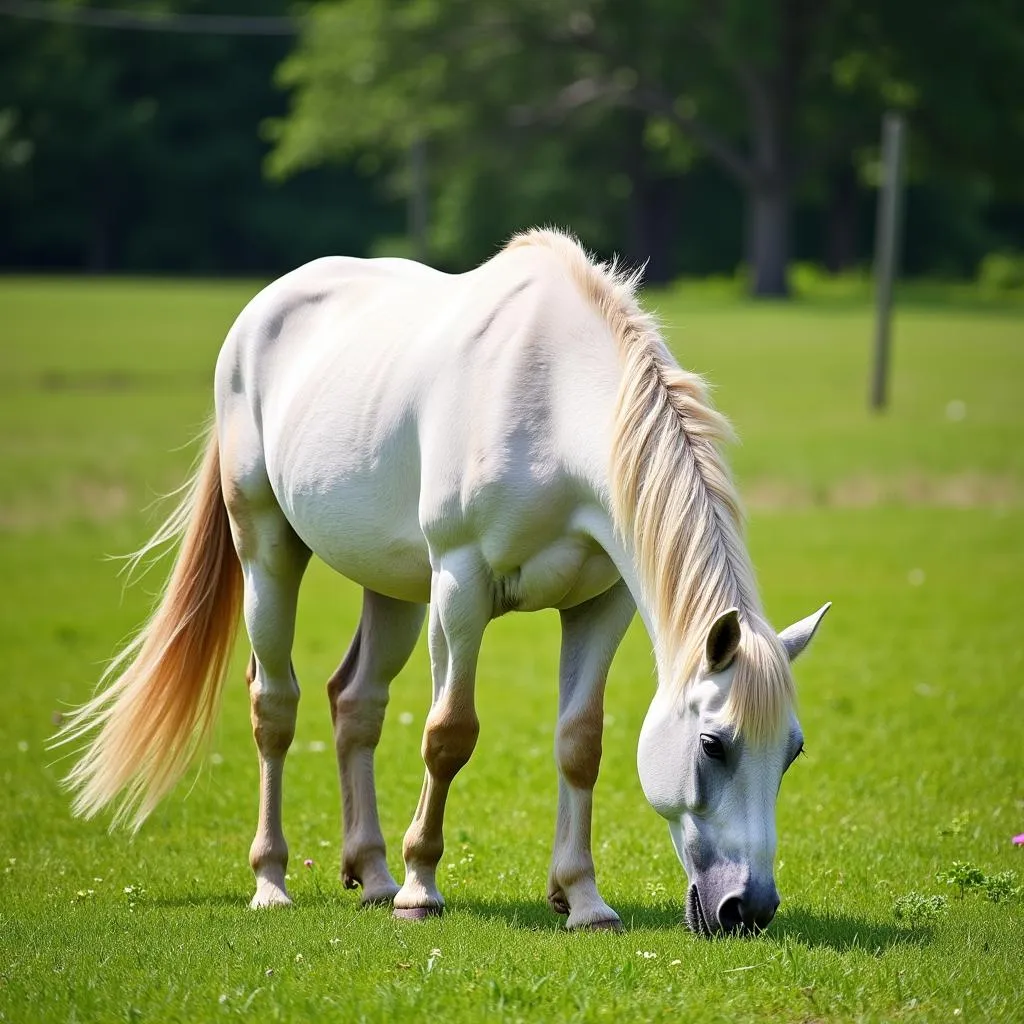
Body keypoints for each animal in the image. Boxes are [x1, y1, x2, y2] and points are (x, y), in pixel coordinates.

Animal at [56, 230, 827, 937]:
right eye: (712, 744)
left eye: (793, 751)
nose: (749, 909)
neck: (553, 400)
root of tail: (260, 313)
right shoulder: (461, 587)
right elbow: (449, 733)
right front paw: (421, 888)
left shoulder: (599, 604)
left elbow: (580, 744)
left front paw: (582, 899)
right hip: (268, 553)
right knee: (274, 704)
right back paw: (274, 881)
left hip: (394, 588)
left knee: (355, 703)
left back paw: (370, 874)